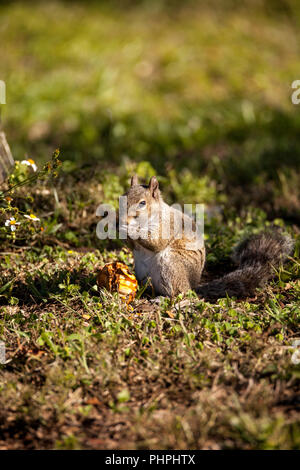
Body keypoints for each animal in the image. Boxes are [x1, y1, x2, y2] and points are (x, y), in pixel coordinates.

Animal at [120, 174, 294, 300]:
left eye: (142, 203)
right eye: (123, 197)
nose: (123, 219)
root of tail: (192, 285)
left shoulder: (168, 225)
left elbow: (157, 242)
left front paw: (132, 229)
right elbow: (133, 246)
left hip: (170, 265)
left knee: (180, 293)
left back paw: (165, 299)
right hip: (142, 271)